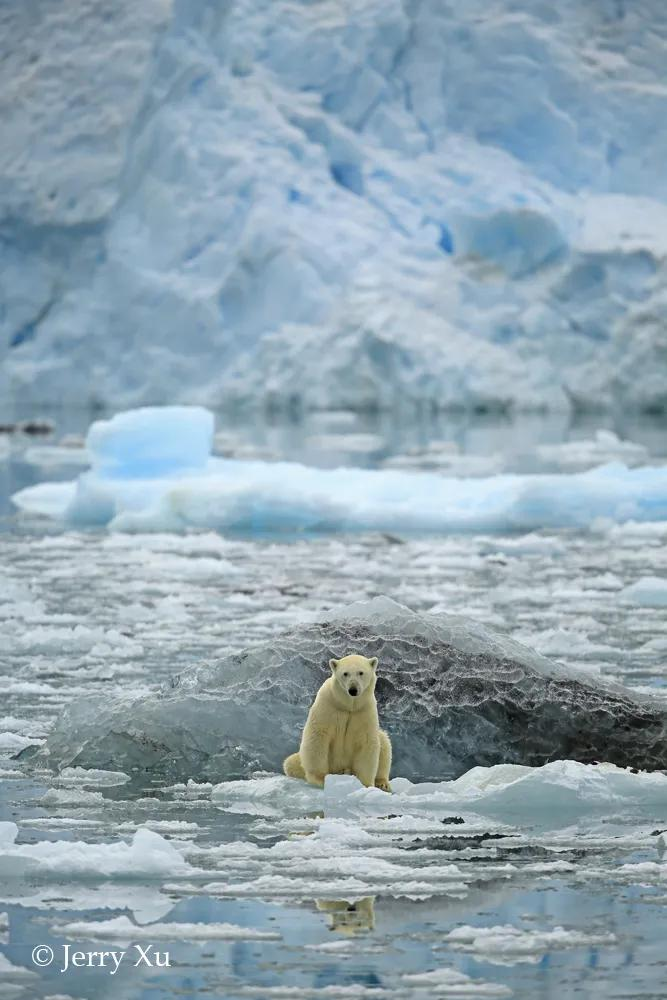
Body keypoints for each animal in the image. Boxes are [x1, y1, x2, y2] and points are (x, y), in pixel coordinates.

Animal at [282, 652, 392, 792]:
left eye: (361, 672)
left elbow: (367, 742)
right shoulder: (328, 705)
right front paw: (320, 779)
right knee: (290, 762)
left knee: (384, 743)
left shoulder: (364, 711)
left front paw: (366, 784)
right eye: (345, 673)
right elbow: (318, 736)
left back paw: (382, 783)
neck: (348, 706)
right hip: (301, 759)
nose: (353, 689)